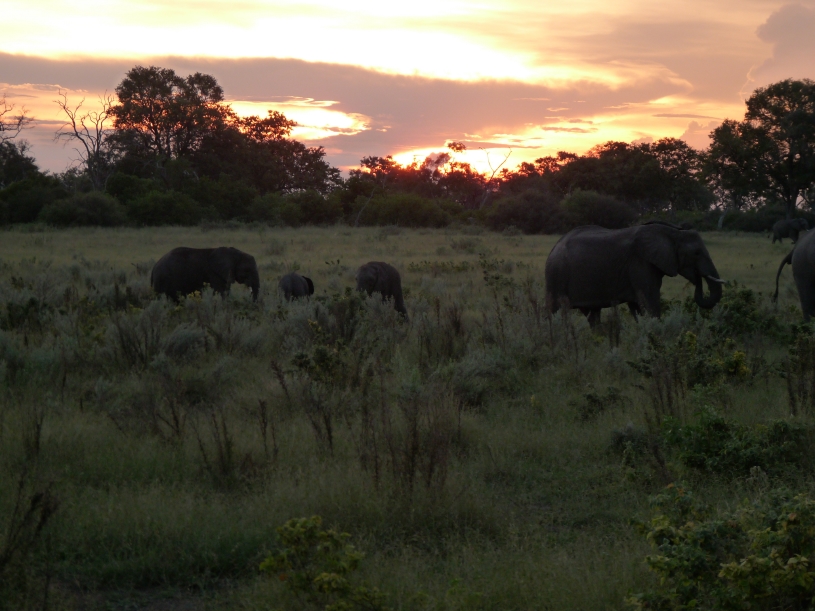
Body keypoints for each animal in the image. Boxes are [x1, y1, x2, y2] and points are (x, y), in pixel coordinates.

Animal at [545, 221, 725, 327]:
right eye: (696, 253)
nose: (698, 277)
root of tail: (554, 248)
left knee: (592, 314)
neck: (673, 232)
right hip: (557, 275)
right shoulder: (640, 263)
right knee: (556, 311)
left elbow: (638, 306)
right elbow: (649, 301)